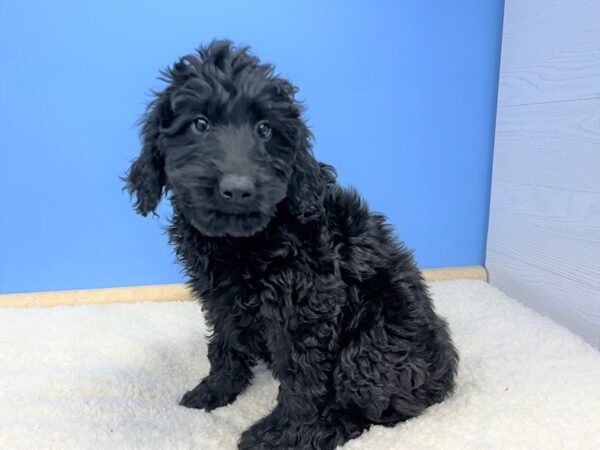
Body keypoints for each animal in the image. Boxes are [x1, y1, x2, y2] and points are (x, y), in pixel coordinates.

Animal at [125, 40, 454, 448]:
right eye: (199, 124)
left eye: (265, 129)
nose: (238, 189)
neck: (241, 241)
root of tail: (445, 374)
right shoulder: (219, 297)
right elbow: (223, 344)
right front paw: (216, 390)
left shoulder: (305, 305)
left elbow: (302, 377)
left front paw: (287, 431)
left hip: (372, 348)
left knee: (364, 411)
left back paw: (310, 432)